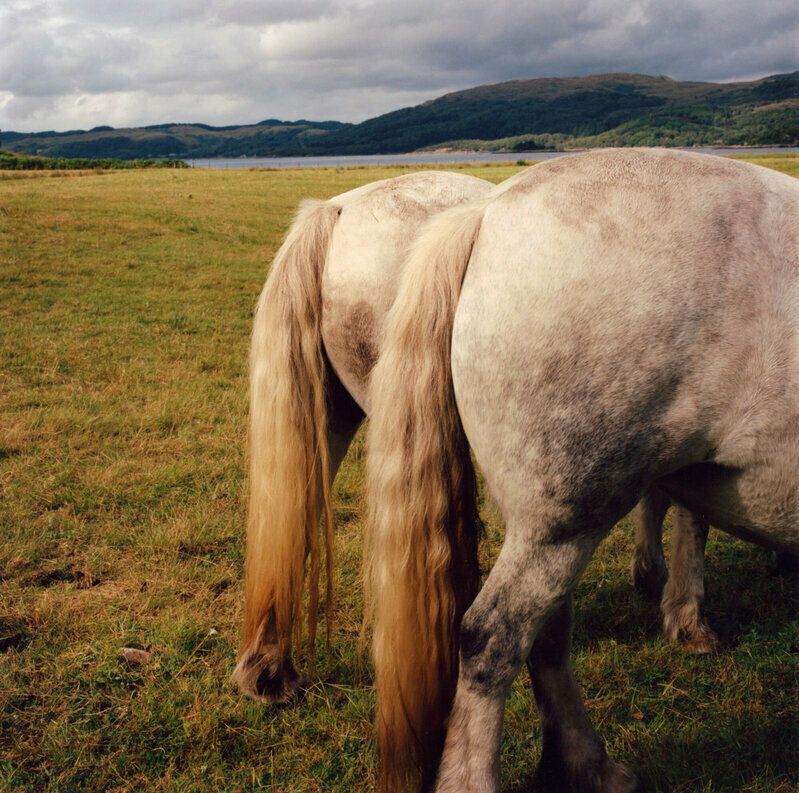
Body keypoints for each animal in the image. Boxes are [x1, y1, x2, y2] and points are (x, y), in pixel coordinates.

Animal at [366, 148, 798, 792]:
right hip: (566, 518)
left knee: (545, 635)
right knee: (492, 638)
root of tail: (490, 211)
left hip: (545, 529)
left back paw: (587, 765)